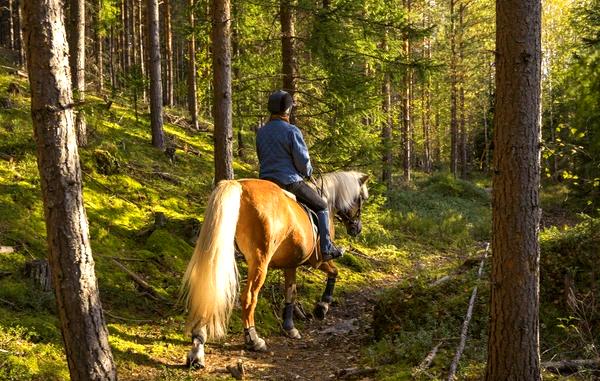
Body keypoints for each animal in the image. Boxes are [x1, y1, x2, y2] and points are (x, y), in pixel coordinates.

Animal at [180, 170, 368, 366]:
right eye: (362, 199)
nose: (357, 229)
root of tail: (240, 186)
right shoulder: (318, 260)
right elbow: (334, 272)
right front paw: (322, 306)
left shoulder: (290, 265)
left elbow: (290, 293)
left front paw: (289, 327)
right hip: (260, 261)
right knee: (249, 297)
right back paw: (253, 339)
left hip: (219, 250)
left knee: (209, 288)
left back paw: (197, 347)